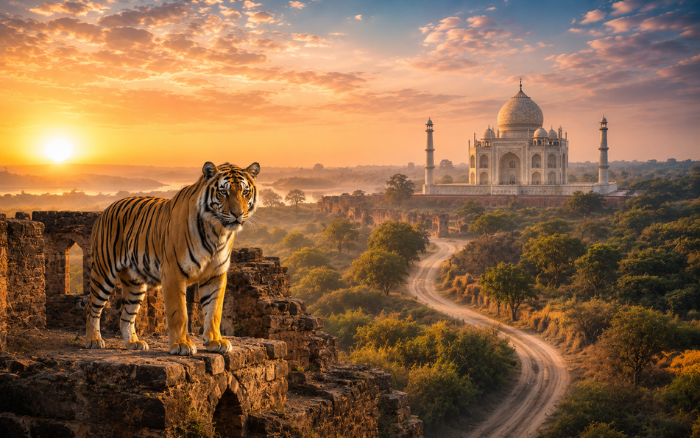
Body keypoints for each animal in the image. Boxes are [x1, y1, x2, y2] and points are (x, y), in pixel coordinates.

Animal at [85, 162, 260, 356]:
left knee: (126, 314)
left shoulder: (215, 274)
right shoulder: (173, 272)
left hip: (134, 283)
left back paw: (133, 343)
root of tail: (106, 209)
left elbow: (214, 310)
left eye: (245, 192)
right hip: (103, 272)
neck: (217, 232)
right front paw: (182, 345)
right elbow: (179, 312)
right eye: (223, 192)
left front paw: (215, 341)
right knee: (92, 308)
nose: (237, 214)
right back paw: (94, 340)